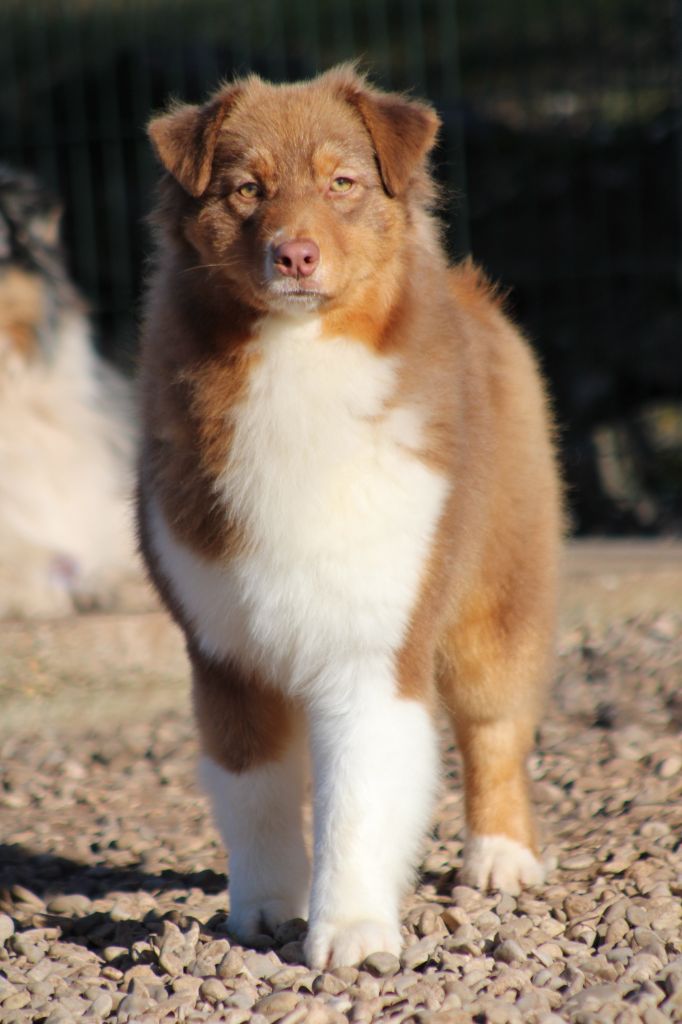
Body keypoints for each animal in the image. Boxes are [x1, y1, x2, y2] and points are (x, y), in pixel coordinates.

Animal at [135, 66, 561, 966]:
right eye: (247, 189)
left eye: (343, 183)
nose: (295, 254)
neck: (298, 363)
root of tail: (475, 293)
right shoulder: (224, 652)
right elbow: (254, 795)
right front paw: (265, 909)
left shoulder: (375, 638)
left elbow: (359, 798)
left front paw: (353, 934)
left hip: (497, 597)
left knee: (496, 729)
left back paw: (501, 858)